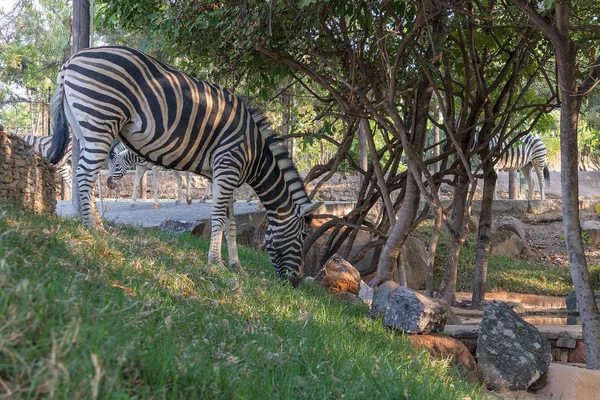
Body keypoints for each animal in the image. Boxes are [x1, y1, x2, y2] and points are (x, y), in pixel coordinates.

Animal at [45, 46, 318, 284]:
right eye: (303, 236)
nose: (296, 283)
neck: (255, 152)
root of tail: (71, 60)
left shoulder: (227, 176)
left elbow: (230, 222)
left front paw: (235, 265)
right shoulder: (227, 168)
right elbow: (218, 216)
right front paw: (215, 263)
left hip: (84, 128)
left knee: (85, 175)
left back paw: (97, 225)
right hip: (101, 120)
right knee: (84, 174)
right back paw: (93, 229)